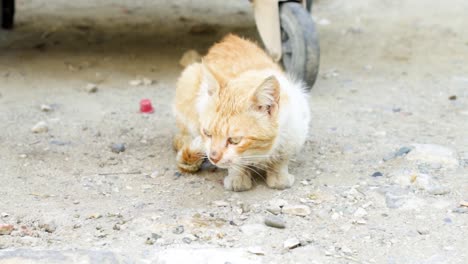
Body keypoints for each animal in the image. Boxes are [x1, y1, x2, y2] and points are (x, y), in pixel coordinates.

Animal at [174, 34, 308, 192]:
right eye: (207, 133)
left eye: (235, 140)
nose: (213, 157)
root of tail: (229, 37)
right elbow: (236, 165)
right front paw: (238, 178)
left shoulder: (296, 127)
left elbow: (282, 157)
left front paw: (279, 176)